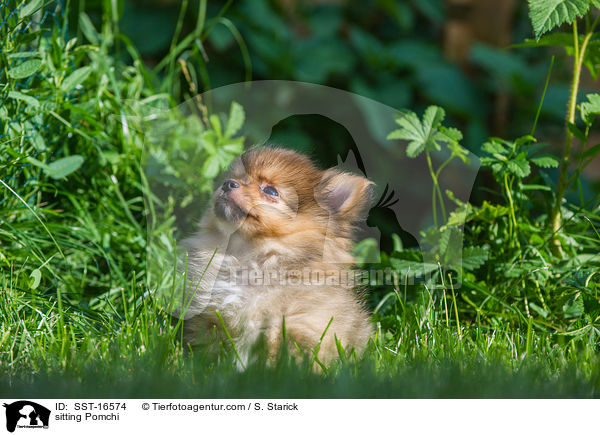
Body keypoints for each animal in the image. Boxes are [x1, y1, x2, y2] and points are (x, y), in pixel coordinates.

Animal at [178, 147, 372, 368]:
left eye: (270, 191)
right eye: (237, 178)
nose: (228, 184)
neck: (248, 258)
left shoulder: (302, 328)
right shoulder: (210, 318)